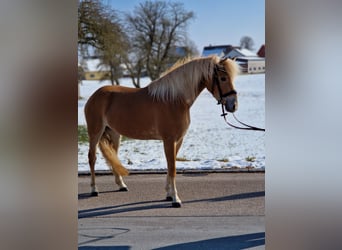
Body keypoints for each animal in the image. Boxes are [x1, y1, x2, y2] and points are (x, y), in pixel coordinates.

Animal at [84, 55, 239, 208]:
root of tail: (94, 96)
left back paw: (121, 185)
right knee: (92, 158)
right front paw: (176, 199)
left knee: (113, 156)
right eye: (223, 78)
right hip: (95, 132)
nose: (234, 105)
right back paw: (93, 189)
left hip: (115, 134)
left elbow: (171, 165)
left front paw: (169, 194)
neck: (174, 100)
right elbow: (172, 168)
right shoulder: (169, 140)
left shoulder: (178, 140)